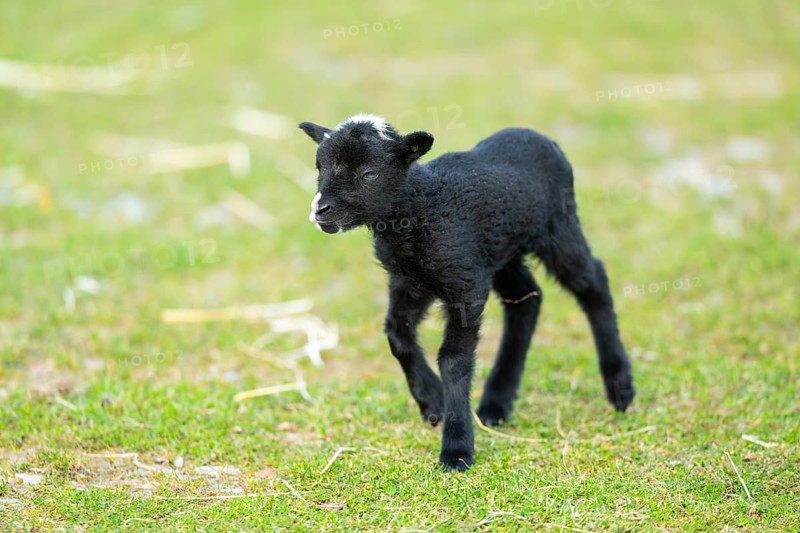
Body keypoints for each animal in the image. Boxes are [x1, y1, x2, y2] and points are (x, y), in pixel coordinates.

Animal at [299, 114, 635, 471]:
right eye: (320, 167)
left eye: (369, 174)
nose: (320, 211)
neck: (421, 209)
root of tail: (542, 137)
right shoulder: (408, 281)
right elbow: (397, 336)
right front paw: (433, 401)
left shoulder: (465, 284)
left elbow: (454, 360)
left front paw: (456, 448)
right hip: (502, 254)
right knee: (527, 299)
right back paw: (496, 403)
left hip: (558, 228)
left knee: (593, 283)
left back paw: (620, 386)